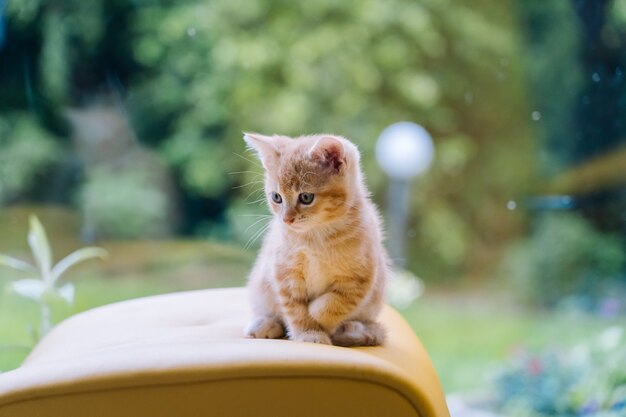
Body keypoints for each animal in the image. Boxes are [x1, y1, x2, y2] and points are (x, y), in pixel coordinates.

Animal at [243, 132, 386, 344]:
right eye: (277, 197)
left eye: (306, 197)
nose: (286, 219)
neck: (315, 236)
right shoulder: (284, 271)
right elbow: (294, 308)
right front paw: (308, 333)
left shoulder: (360, 278)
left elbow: (335, 304)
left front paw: (318, 321)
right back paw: (265, 324)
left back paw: (351, 330)